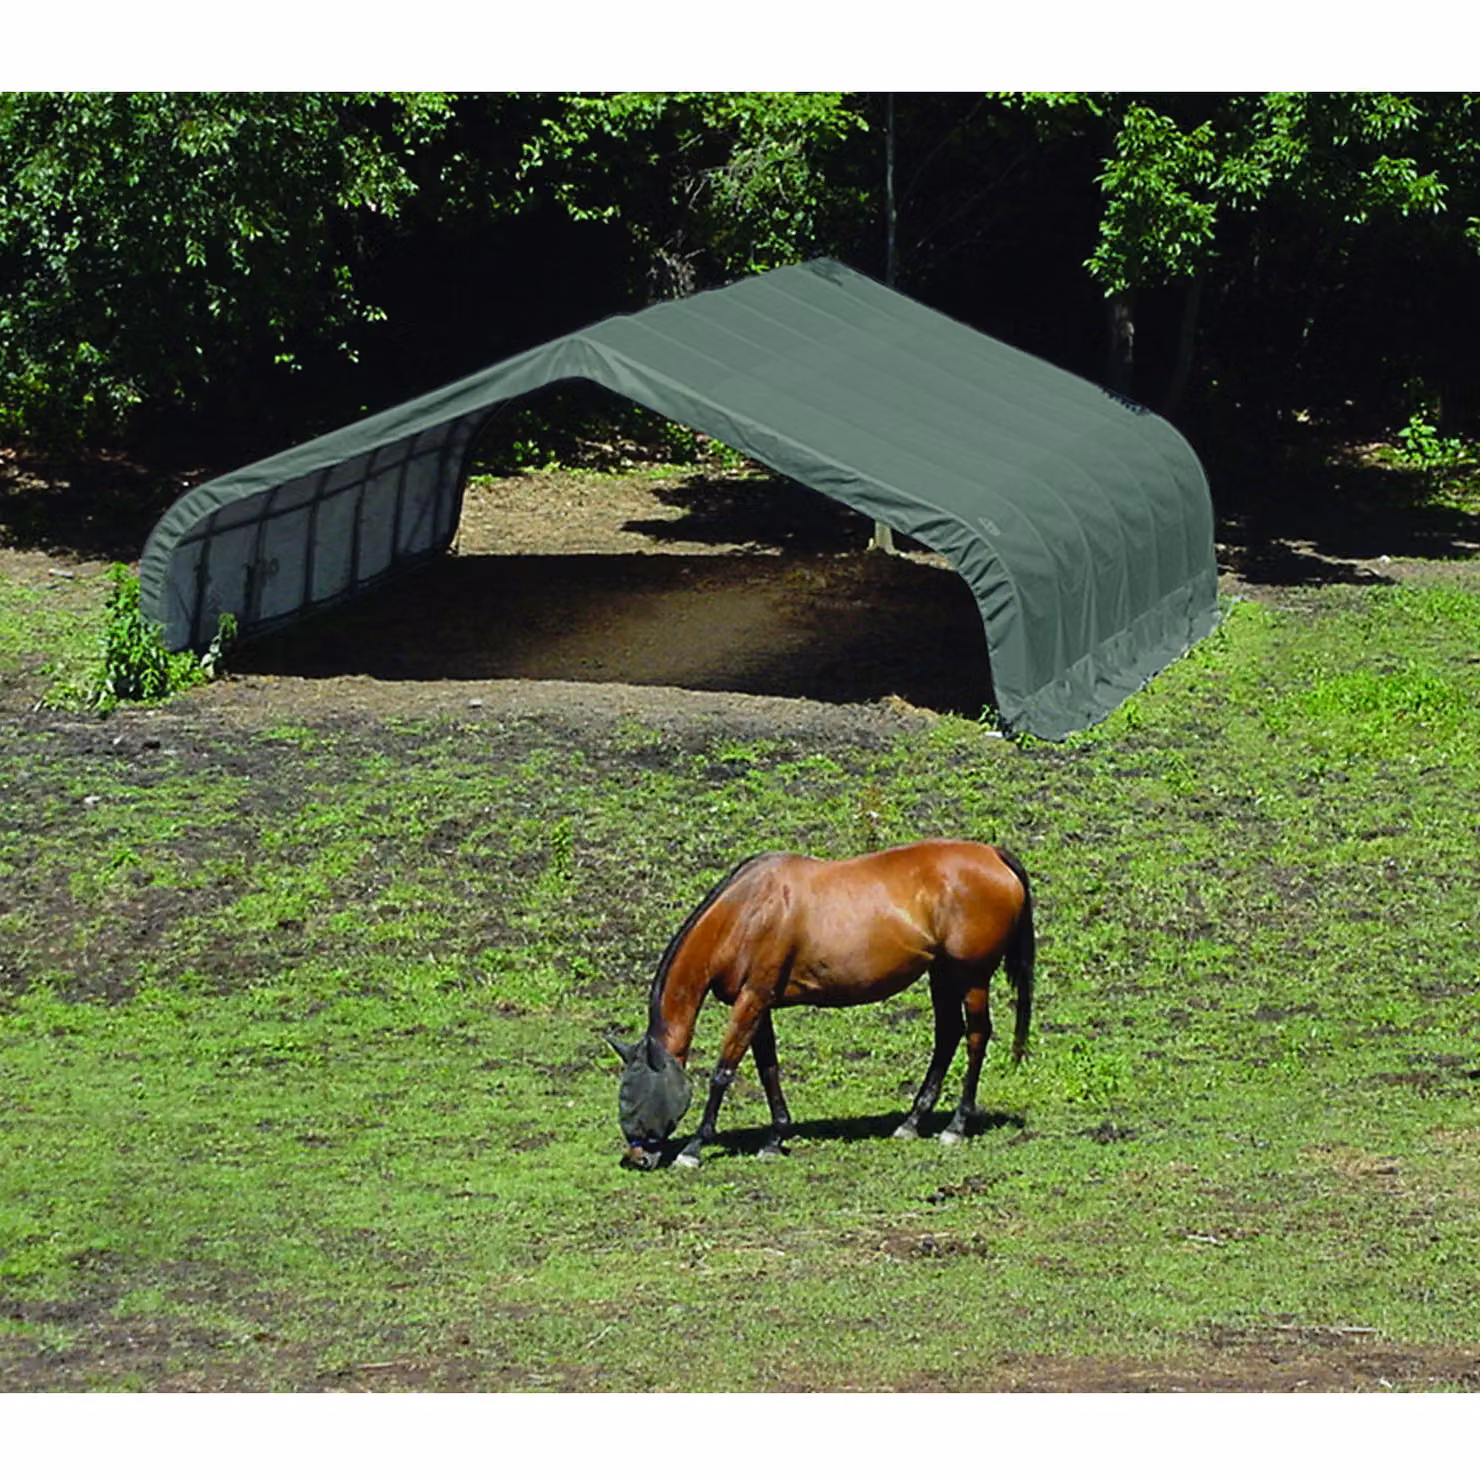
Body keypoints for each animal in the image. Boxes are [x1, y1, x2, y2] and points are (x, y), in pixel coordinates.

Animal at [605, 839, 1035, 1170]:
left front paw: (694, 1148)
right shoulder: (760, 1004)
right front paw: (775, 1138)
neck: (748, 911)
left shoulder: (751, 1000)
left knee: (976, 1036)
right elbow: (769, 1069)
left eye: (633, 1096)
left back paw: (956, 1126)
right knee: (948, 1036)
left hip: (972, 977)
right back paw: (911, 1122)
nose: (636, 1158)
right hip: (941, 973)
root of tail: (993, 855)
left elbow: (723, 1072)